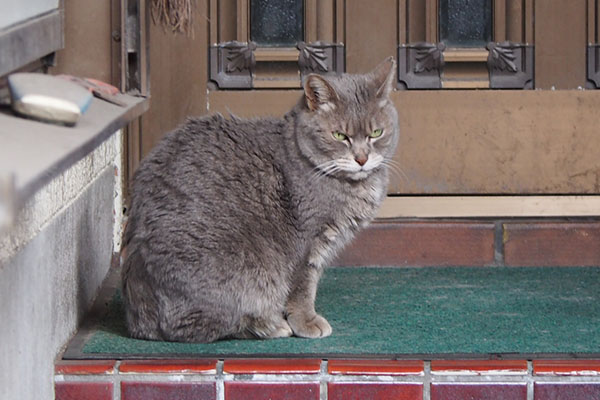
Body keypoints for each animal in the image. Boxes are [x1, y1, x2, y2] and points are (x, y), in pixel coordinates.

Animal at [122, 57, 400, 342]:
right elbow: (302, 289)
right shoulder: (307, 245)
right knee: (191, 325)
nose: (362, 158)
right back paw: (269, 325)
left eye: (376, 133)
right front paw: (306, 321)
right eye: (339, 136)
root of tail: (137, 319)